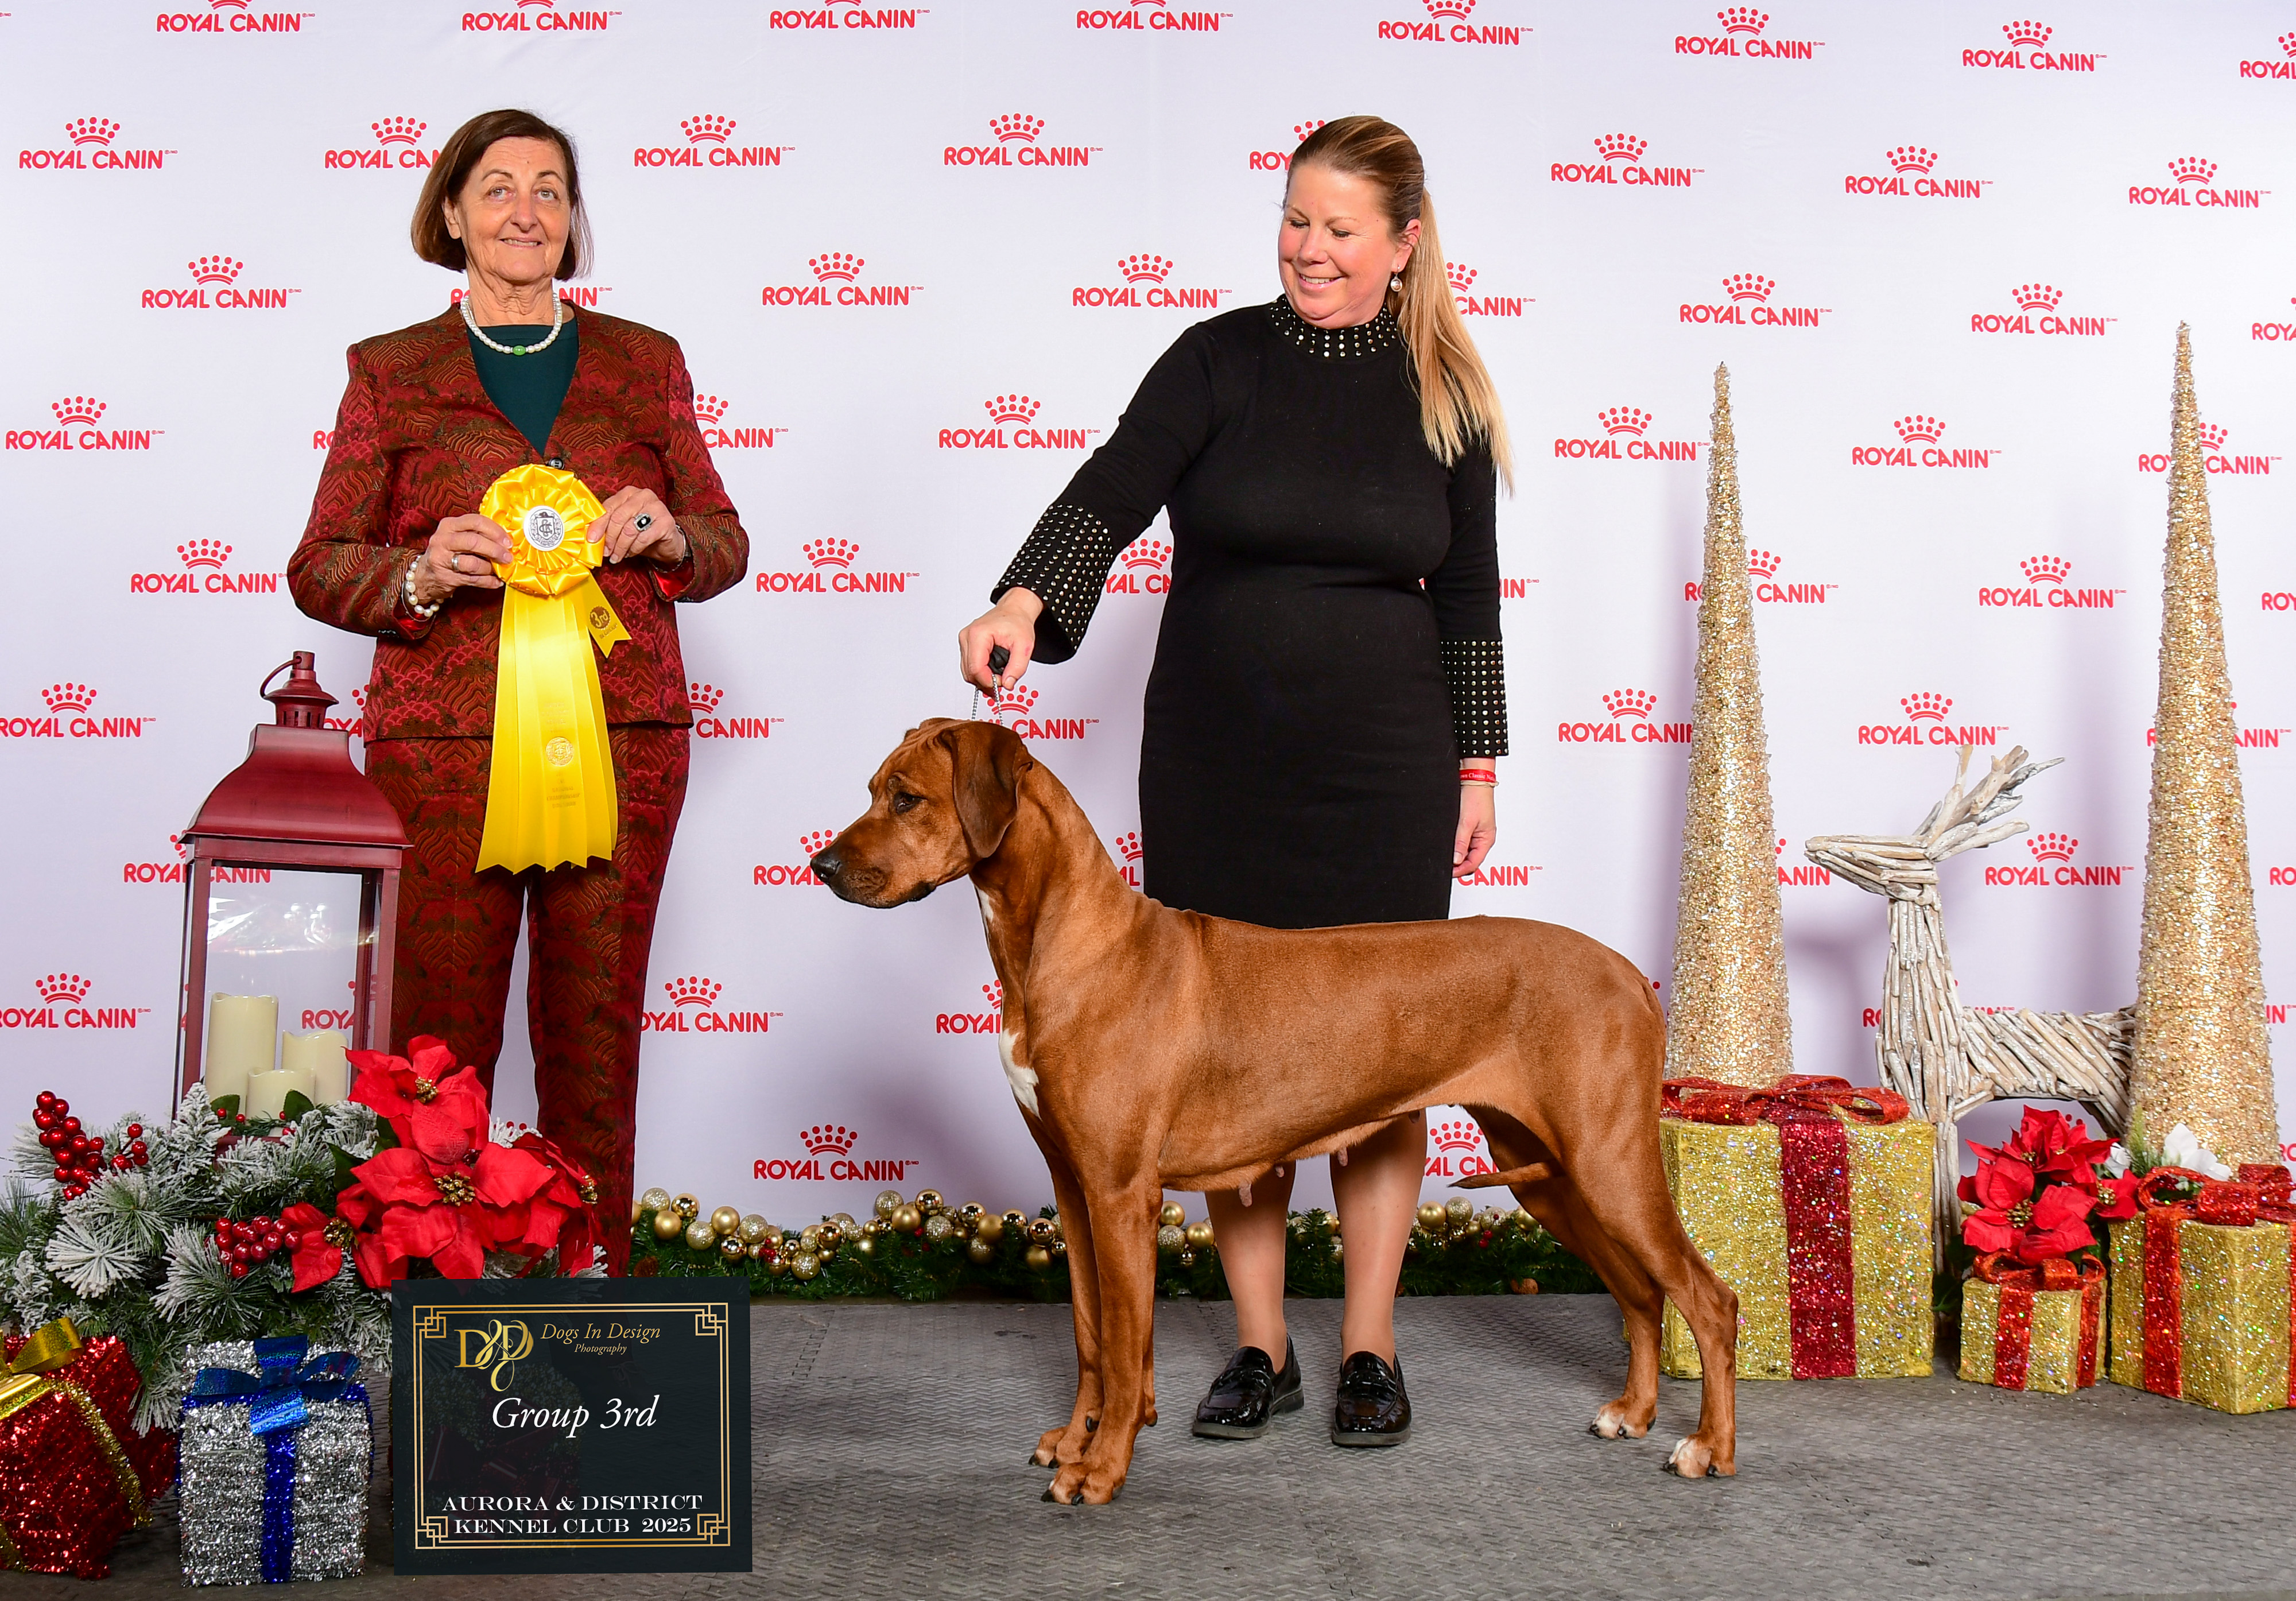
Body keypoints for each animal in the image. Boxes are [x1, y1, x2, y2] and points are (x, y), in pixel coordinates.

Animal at [811, 718, 1738, 1504]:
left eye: (907, 798)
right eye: (872, 788)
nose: (820, 868)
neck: (1063, 941)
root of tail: (1630, 973)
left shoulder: (1120, 1191)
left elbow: (1125, 1340)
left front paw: (1102, 1468)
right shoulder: (1074, 1187)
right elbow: (1090, 1334)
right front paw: (1076, 1440)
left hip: (1607, 1161)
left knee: (1706, 1297)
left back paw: (1709, 1447)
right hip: (1547, 1171)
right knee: (1641, 1293)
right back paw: (1633, 1411)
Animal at [1802, 745, 2134, 1263]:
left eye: (1891, 849)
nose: (1817, 843)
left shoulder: (1939, 1106)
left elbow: (1941, 1189)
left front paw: (1947, 1264)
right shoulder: (1913, 1100)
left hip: (2111, 1096)